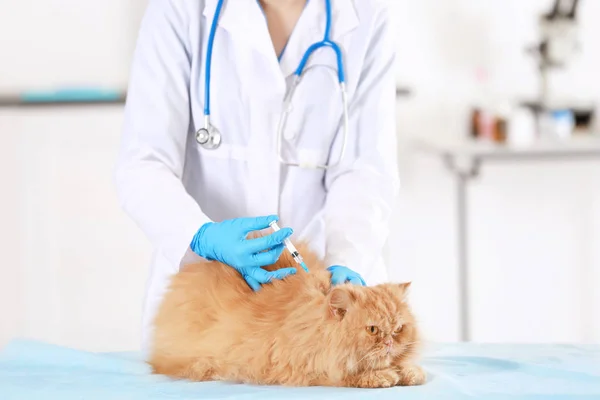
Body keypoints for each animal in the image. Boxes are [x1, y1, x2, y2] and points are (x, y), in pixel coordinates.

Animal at [148, 244, 424, 388]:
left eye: (398, 329)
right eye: (372, 330)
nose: (389, 342)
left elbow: (404, 366)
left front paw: (410, 372)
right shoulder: (306, 369)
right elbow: (349, 375)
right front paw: (384, 376)